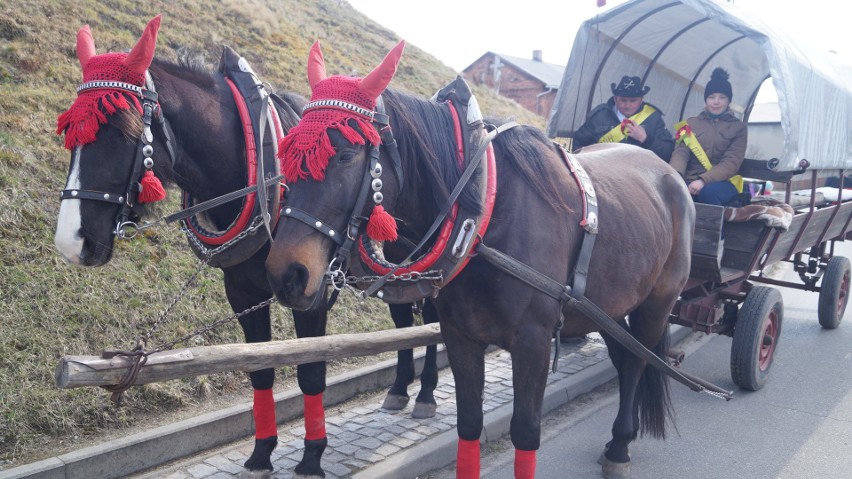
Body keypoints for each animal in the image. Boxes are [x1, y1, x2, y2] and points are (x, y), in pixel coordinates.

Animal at [52, 16, 436, 478]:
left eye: (119, 131)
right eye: (70, 130)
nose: (71, 241)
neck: (261, 177)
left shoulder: (310, 292)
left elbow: (311, 370)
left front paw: (312, 456)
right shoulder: (242, 292)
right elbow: (260, 370)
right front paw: (261, 453)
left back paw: (427, 393)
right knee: (404, 317)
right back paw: (399, 389)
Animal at [268, 42, 700, 479]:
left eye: (344, 154)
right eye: (287, 151)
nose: (286, 273)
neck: (483, 217)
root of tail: (669, 173)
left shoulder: (533, 342)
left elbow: (525, 431)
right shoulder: (461, 336)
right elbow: (469, 423)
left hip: (657, 304)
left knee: (637, 363)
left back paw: (621, 445)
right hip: (608, 308)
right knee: (625, 356)